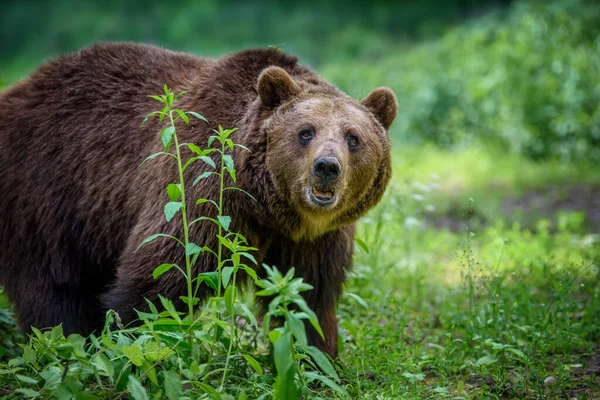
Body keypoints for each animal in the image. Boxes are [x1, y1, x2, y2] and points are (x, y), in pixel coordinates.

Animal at [0, 43, 396, 356]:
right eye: (305, 132)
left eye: (353, 138)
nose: (326, 167)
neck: (269, 208)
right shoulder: (204, 189)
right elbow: (161, 275)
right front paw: (128, 341)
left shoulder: (316, 238)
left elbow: (307, 298)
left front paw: (316, 359)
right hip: (46, 188)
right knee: (52, 284)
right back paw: (64, 342)